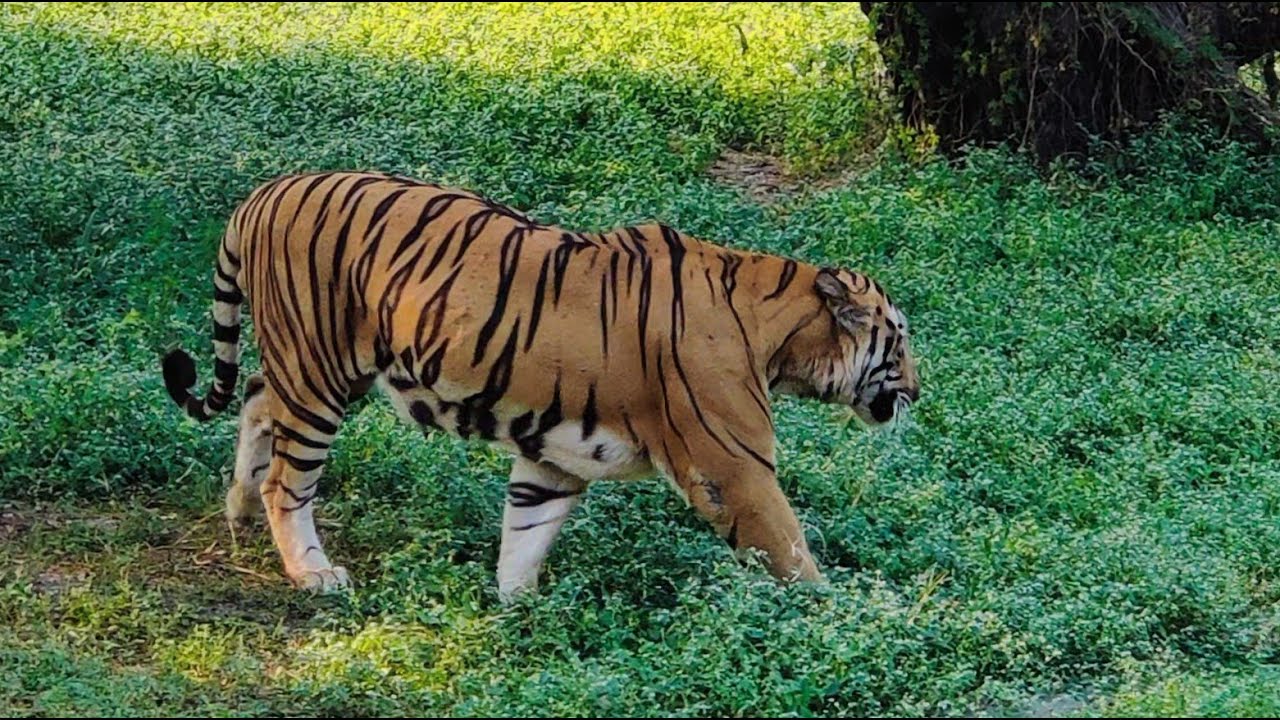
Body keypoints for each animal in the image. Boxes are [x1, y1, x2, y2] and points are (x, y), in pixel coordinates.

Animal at [162, 170, 920, 601]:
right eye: (899, 340)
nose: (917, 388)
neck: (777, 336)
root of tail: (261, 194)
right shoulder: (734, 467)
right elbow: (791, 551)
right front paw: (841, 618)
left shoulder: (554, 457)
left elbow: (524, 536)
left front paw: (518, 611)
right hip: (318, 369)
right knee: (287, 481)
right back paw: (311, 573)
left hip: (315, 369)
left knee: (255, 397)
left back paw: (236, 510)